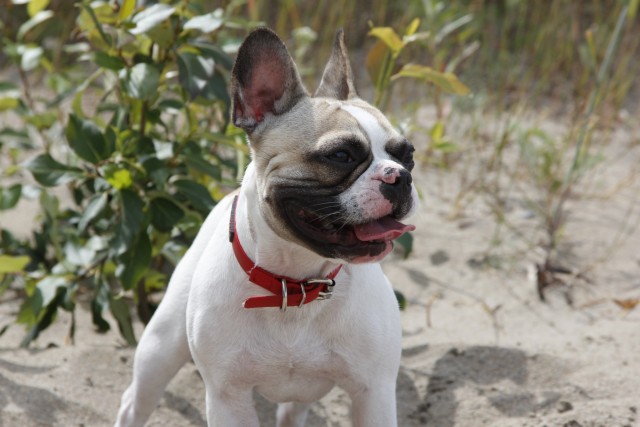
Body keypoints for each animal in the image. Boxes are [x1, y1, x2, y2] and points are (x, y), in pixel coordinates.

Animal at [114, 27, 420, 427]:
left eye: (408, 155)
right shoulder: (228, 397)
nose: (400, 177)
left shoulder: (374, 394)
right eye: (340, 155)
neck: (296, 284)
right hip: (160, 348)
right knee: (137, 400)